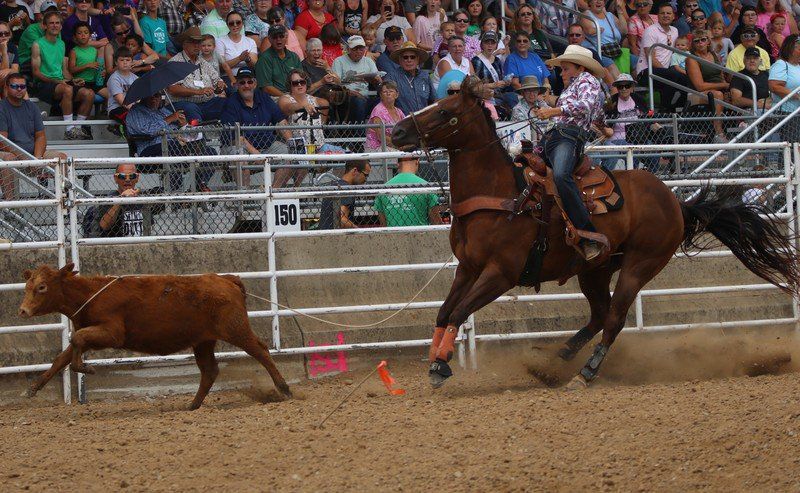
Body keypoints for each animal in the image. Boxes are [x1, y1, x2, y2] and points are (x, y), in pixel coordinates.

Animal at [18, 264, 290, 410]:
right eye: (27, 287)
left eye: (41, 287)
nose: (22, 310)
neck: (90, 294)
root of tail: (226, 279)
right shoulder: (92, 331)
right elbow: (63, 356)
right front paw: (33, 388)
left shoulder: (112, 333)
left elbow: (76, 341)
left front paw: (86, 368)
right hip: (203, 341)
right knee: (209, 370)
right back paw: (193, 405)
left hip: (236, 330)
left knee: (261, 351)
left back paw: (284, 389)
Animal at [390, 75, 796, 386]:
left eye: (446, 112)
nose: (397, 131)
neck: (502, 196)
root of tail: (676, 203)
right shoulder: (467, 268)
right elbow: (444, 313)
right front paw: (435, 356)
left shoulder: (500, 274)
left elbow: (458, 313)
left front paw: (440, 364)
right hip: (595, 269)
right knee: (599, 315)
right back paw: (554, 361)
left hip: (639, 265)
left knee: (614, 319)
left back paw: (584, 372)